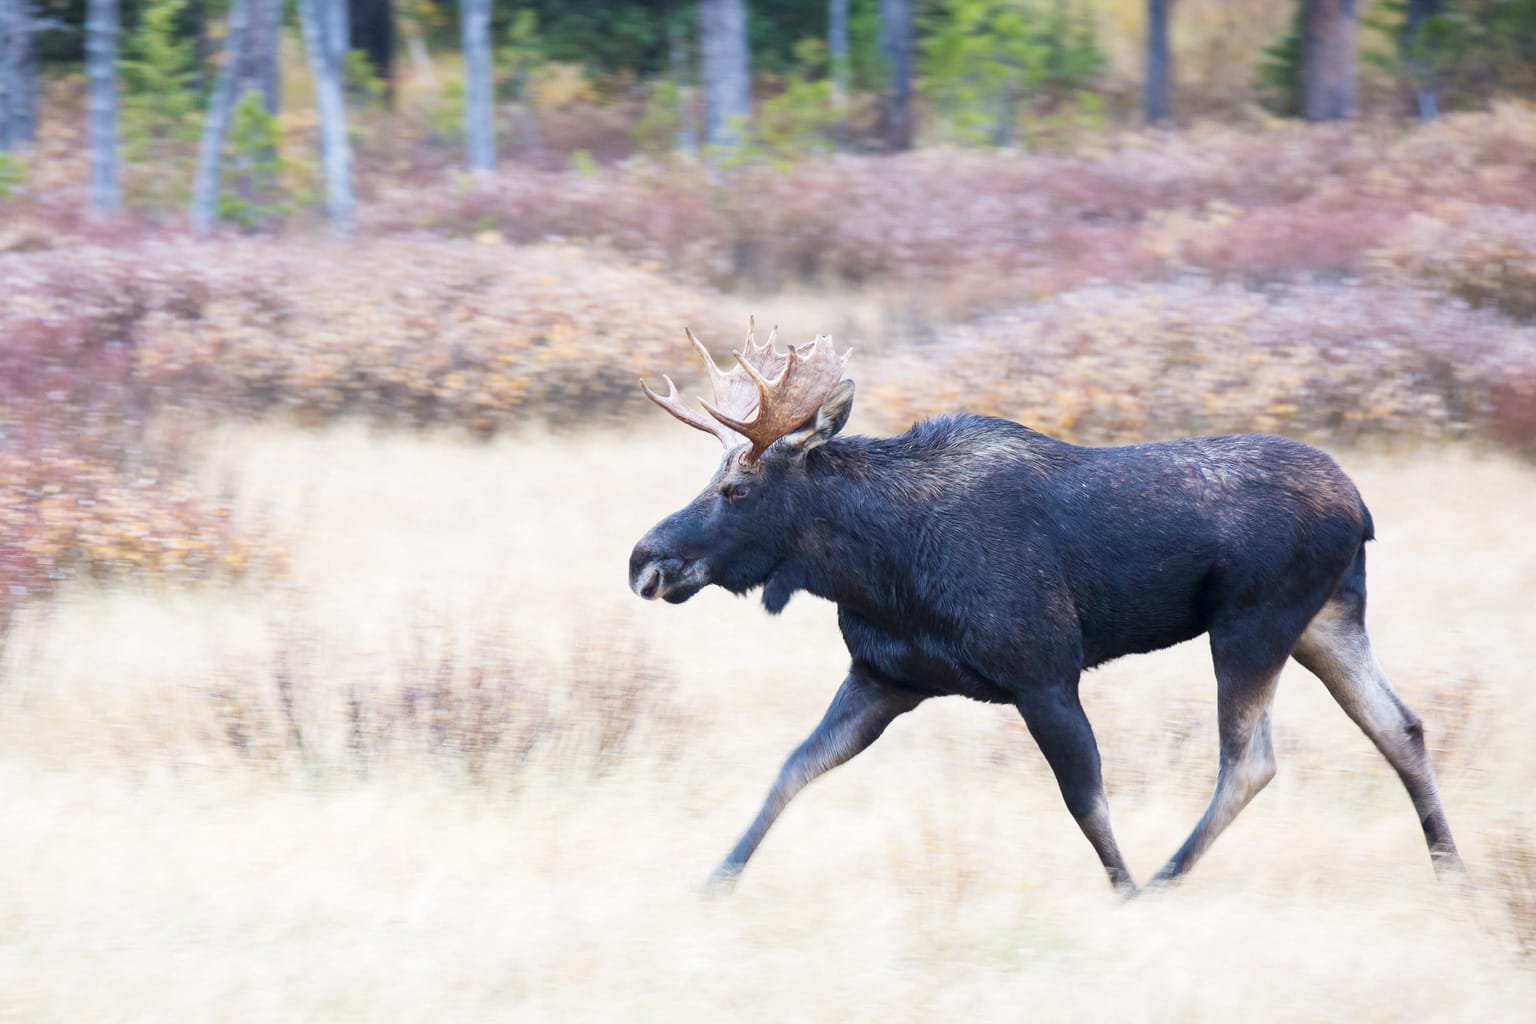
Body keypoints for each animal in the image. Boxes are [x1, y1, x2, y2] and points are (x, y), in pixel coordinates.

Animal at [626, 323, 1462, 890]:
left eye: (738, 488)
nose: (644, 560)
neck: (876, 565)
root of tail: (1360, 508)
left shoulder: (1044, 673)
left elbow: (1086, 800)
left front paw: (1125, 893)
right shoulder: (886, 676)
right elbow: (793, 770)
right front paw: (715, 881)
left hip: (1254, 623)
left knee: (1250, 760)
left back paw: (1165, 879)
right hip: (1326, 619)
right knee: (1400, 725)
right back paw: (1450, 868)